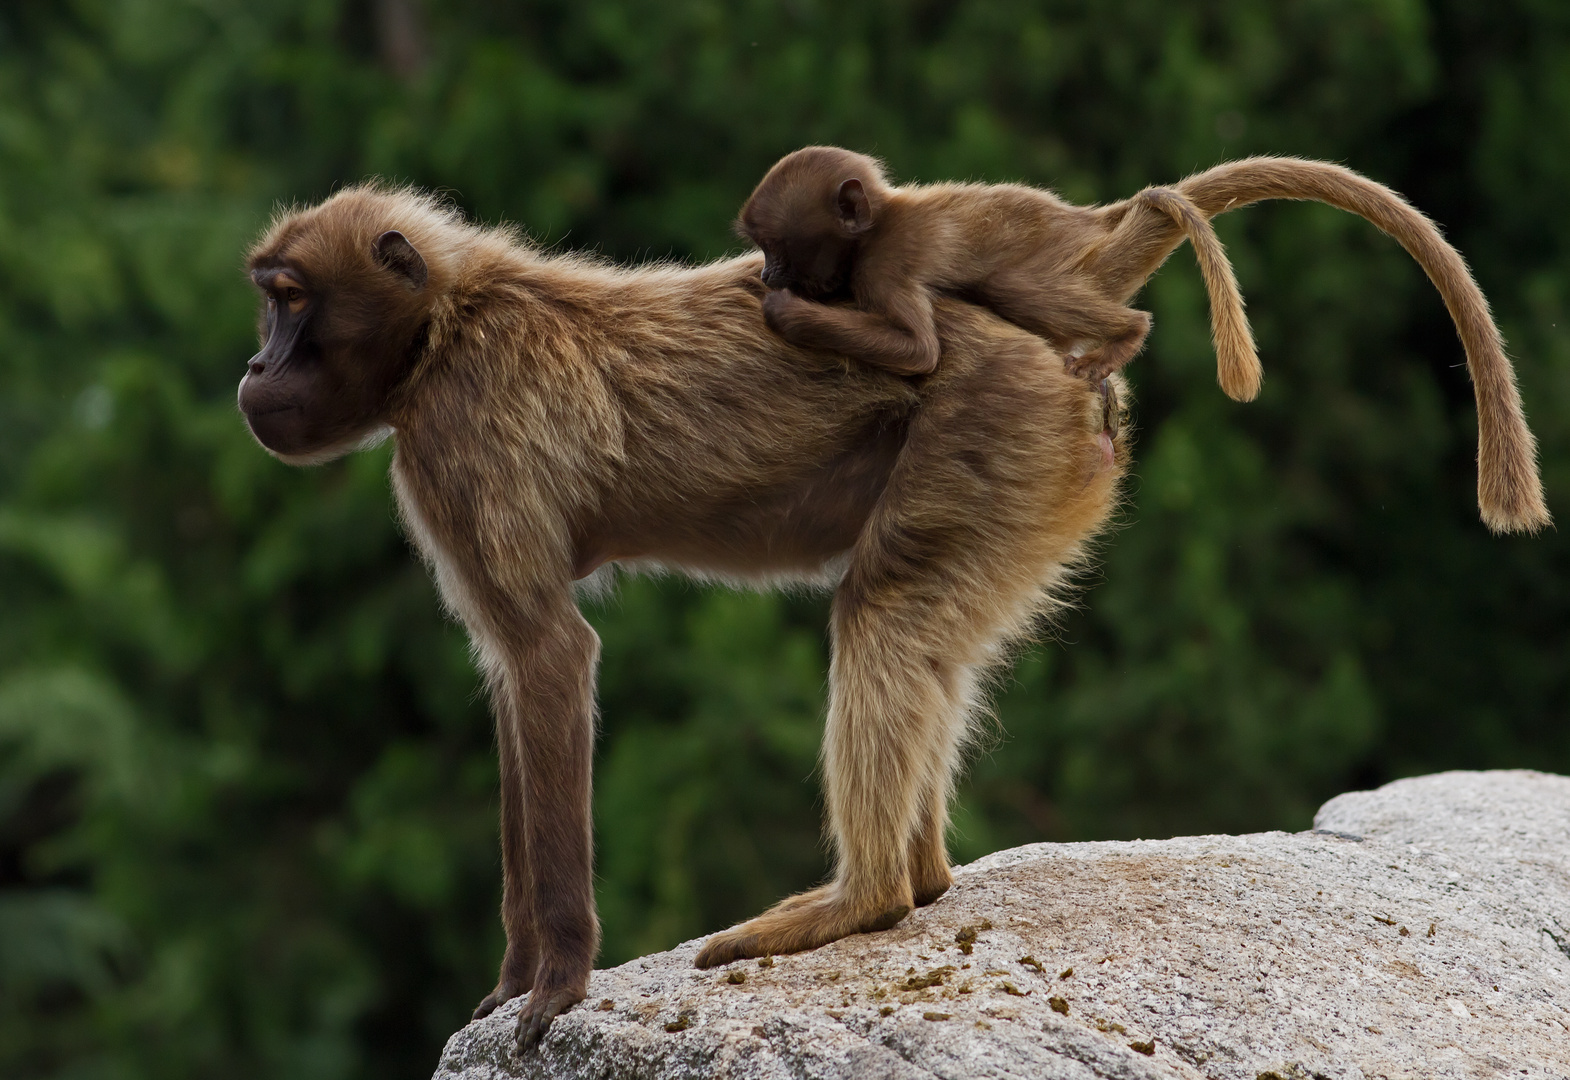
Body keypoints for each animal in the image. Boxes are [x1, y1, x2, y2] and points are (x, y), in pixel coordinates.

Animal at [737, 143, 1262, 397]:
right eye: (764, 251)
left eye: (777, 250)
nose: (767, 277)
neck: (876, 225)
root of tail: (1089, 221)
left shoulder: (884, 263)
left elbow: (919, 351)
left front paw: (784, 310)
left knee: (1011, 286)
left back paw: (1129, 332)